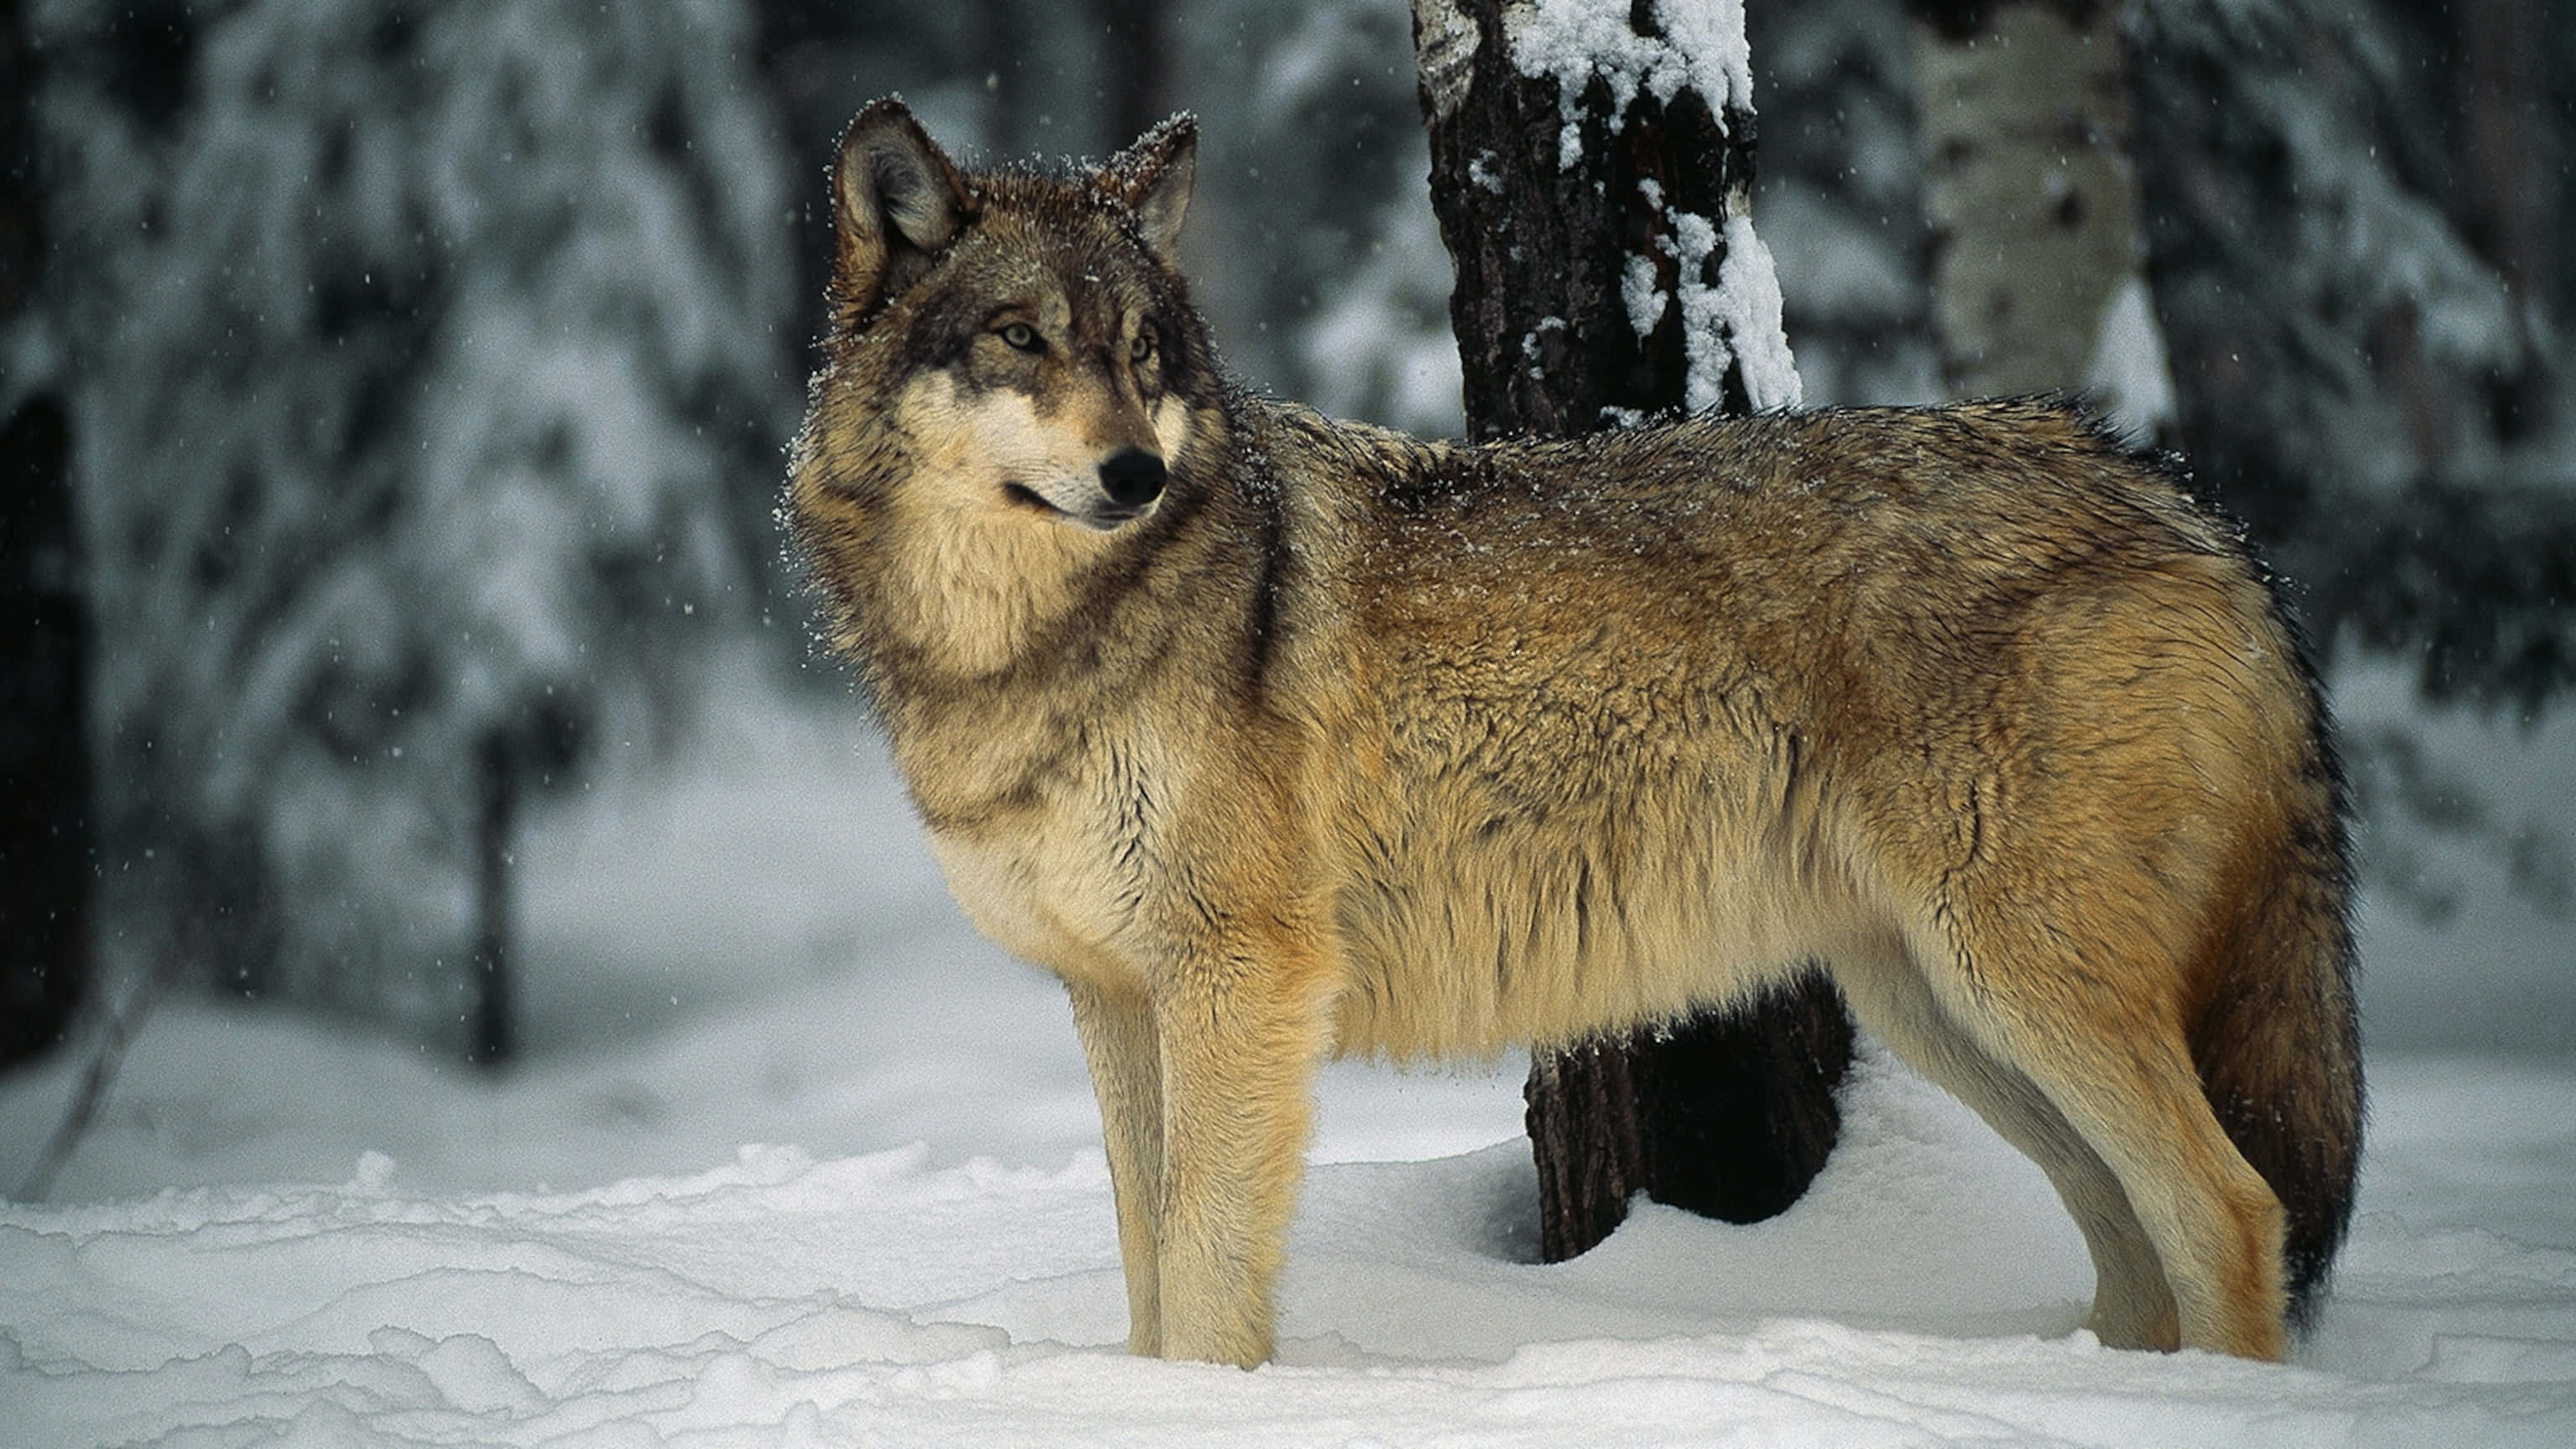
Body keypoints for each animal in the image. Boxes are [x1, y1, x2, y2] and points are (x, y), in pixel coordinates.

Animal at [787, 98, 2363, 1369]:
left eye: (1142, 352)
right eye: (1022, 343)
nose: (1135, 472)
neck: (1032, 651)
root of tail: (2181, 501)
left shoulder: (1240, 980)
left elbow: (1202, 1273)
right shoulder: (1115, 996)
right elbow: (1142, 1265)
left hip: (2017, 979)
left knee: (2232, 1207)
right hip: (1944, 1006)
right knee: (2133, 1237)